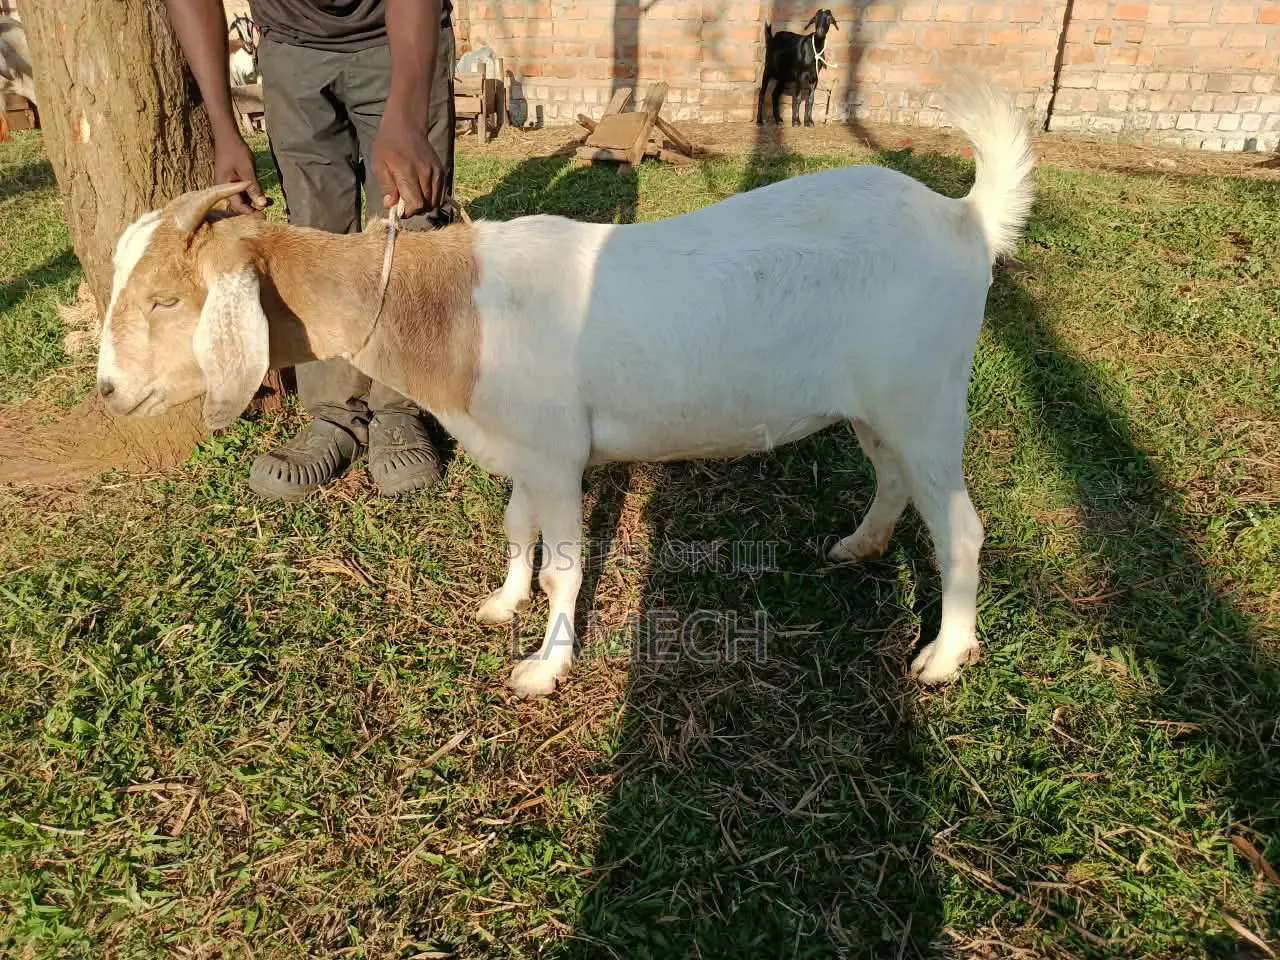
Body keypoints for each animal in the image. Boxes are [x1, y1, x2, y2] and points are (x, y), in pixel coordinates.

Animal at [95, 76, 1034, 700]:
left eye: (167, 298)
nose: (106, 392)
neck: (449, 306)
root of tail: (965, 219)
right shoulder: (524, 450)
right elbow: (520, 531)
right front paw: (501, 602)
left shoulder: (557, 452)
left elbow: (567, 567)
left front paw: (543, 666)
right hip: (877, 402)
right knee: (892, 478)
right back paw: (862, 546)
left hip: (926, 395)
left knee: (960, 525)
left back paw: (943, 655)